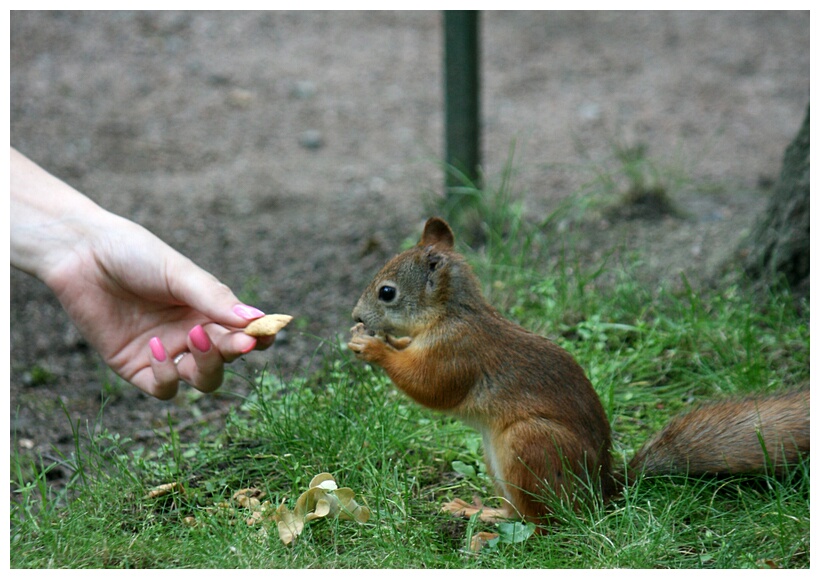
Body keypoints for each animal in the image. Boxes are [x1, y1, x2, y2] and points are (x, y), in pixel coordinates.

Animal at [346, 218, 808, 524]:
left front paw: (373, 347)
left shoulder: (458, 353)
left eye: (387, 292)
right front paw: (381, 340)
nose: (355, 316)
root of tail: (601, 492)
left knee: (545, 524)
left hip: (529, 445)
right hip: (498, 460)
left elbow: (431, 388)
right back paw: (477, 510)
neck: (450, 313)